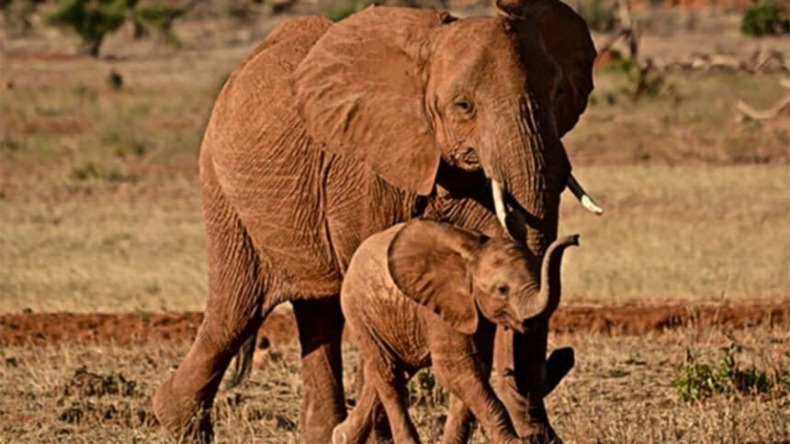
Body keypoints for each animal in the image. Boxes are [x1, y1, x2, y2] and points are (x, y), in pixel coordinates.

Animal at [334, 219, 580, 444]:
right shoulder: (442, 308)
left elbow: (474, 371)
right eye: (502, 290)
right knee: (390, 376)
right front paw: (514, 442)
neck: (472, 255)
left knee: (391, 372)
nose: (575, 238)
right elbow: (456, 370)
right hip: (359, 311)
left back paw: (340, 436)